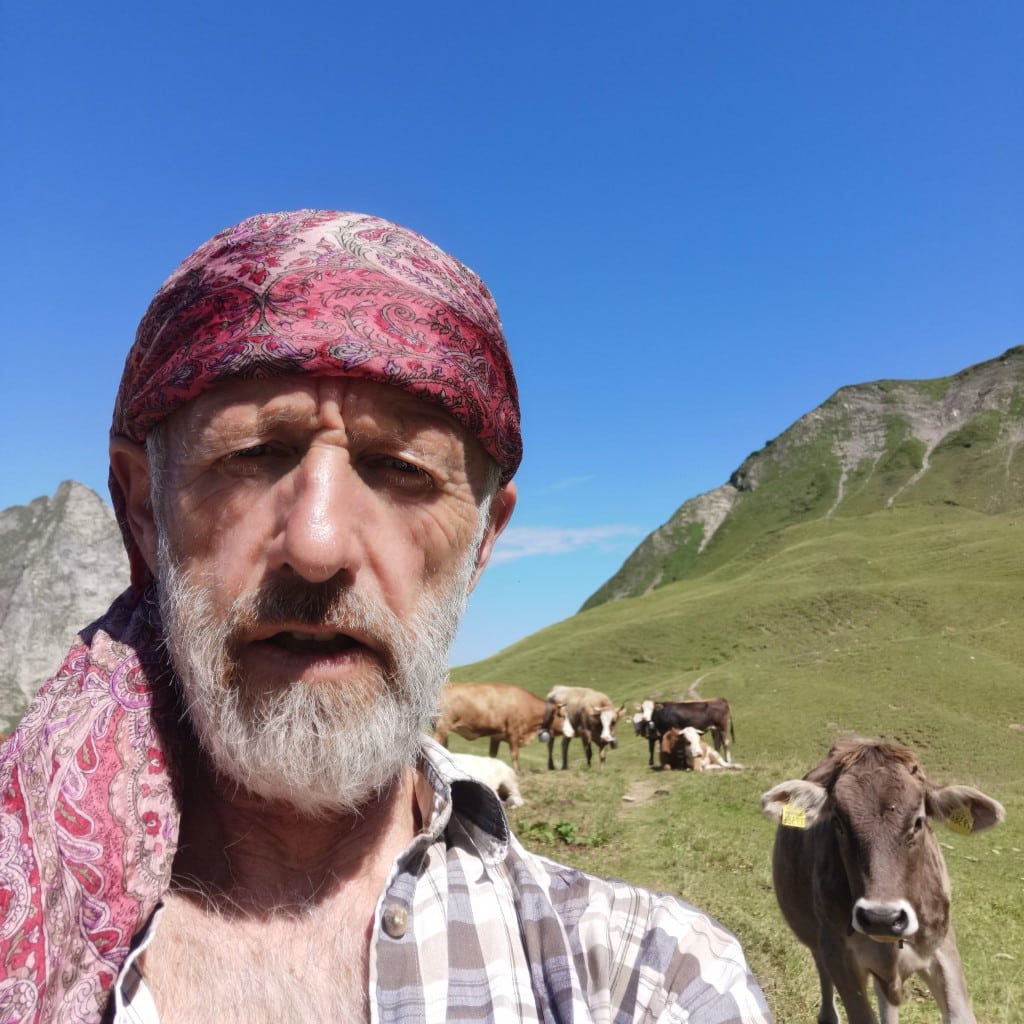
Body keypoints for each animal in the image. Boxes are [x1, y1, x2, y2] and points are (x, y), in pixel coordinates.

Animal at [432, 682, 564, 773]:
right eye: (562, 716)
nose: (566, 731)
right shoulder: (514, 732)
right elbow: (515, 753)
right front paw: (518, 771)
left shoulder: (496, 735)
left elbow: (493, 754)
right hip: (442, 725)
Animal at [760, 736, 1005, 1024]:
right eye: (838, 821)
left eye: (919, 821)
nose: (882, 918)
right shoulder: (839, 956)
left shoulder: (942, 948)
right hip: (815, 937)